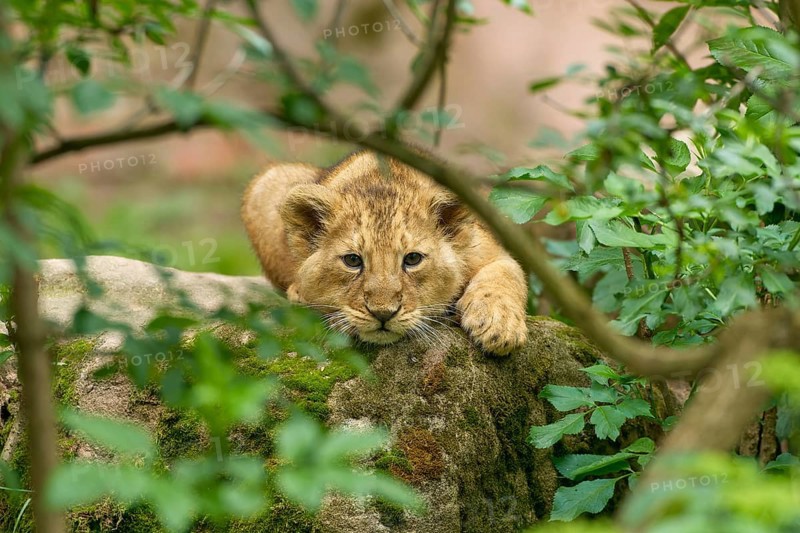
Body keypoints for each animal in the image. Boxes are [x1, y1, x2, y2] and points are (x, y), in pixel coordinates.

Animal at [241, 151, 528, 355]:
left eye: (412, 259)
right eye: (353, 260)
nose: (383, 313)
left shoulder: (487, 248)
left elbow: (505, 274)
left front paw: (498, 326)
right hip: (268, 181)